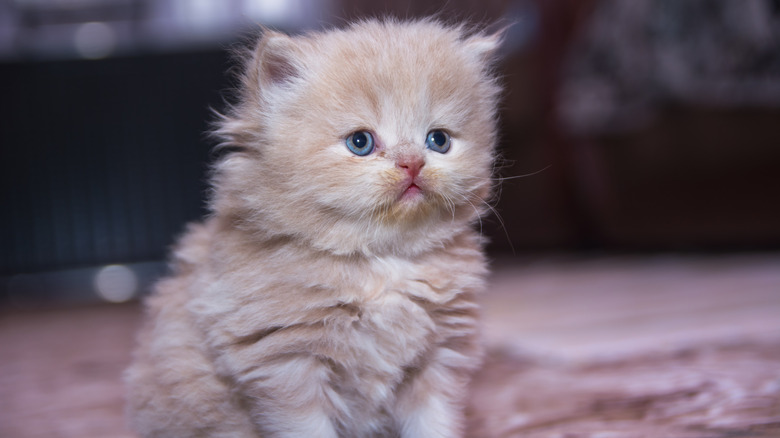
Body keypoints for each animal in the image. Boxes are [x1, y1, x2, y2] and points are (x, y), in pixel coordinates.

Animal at [126, 18, 506, 438]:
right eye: (360, 142)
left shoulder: (439, 357)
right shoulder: (287, 365)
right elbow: (309, 426)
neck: (380, 261)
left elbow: (433, 424)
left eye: (438, 140)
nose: (412, 163)